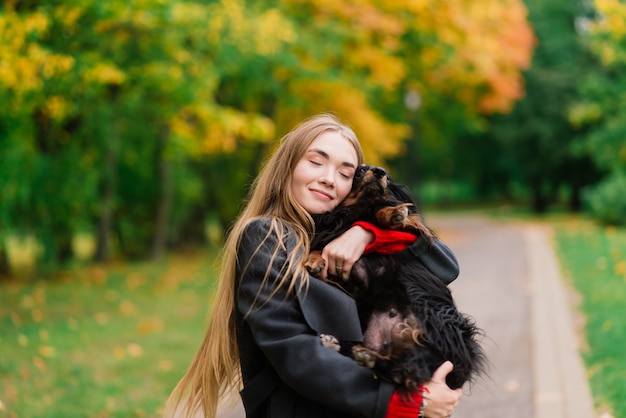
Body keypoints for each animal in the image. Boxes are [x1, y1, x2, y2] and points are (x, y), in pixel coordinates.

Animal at [304, 164, 486, 392]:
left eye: (388, 178)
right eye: (359, 170)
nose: (379, 171)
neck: (353, 212)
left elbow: (381, 213)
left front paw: (393, 214)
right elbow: (322, 248)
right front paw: (315, 261)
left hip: (442, 334)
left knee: (410, 369)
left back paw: (366, 355)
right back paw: (339, 345)